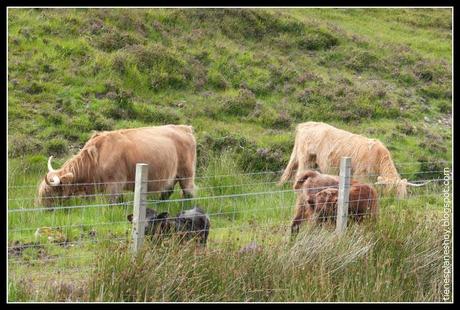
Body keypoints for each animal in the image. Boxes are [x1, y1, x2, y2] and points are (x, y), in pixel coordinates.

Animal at [38, 124, 197, 207]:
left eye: (50, 193)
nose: (42, 209)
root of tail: (184, 128)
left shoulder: (115, 183)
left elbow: (112, 202)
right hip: (172, 175)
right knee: (167, 191)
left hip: (186, 173)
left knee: (188, 192)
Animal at [276, 121, 428, 197]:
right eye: (393, 192)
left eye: (404, 193)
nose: (398, 202)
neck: (379, 158)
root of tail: (305, 124)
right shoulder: (362, 175)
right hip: (305, 157)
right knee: (299, 174)